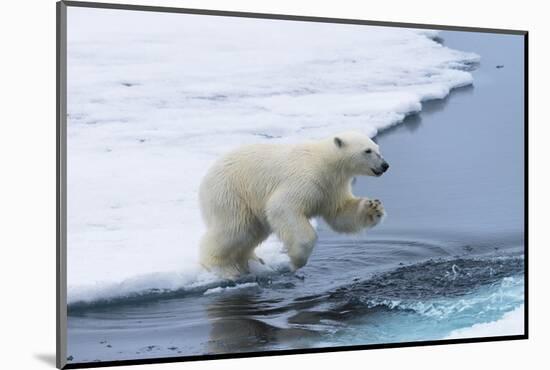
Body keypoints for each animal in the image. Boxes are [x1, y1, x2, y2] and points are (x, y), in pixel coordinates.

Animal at [198, 131, 388, 278]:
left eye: (378, 149)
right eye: (368, 150)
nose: (385, 165)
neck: (324, 162)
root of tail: (205, 180)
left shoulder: (332, 188)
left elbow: (340, 213)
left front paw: (374, 207)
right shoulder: (306, 179)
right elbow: (282, 207)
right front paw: (296, 261)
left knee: (253, 232)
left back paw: (253, 261)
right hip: (230, 193)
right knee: (234, 229)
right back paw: (222, 268)